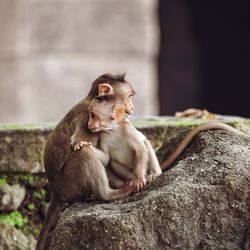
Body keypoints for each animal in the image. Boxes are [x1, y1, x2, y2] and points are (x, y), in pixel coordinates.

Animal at [35, 73, 135, 250]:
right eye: (129, 96)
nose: (132, 106)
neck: (91, 98)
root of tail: (56, 192)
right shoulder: (88, 119)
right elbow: (80, 145)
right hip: (69, 186)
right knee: (84, 153)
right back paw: (107, 194)